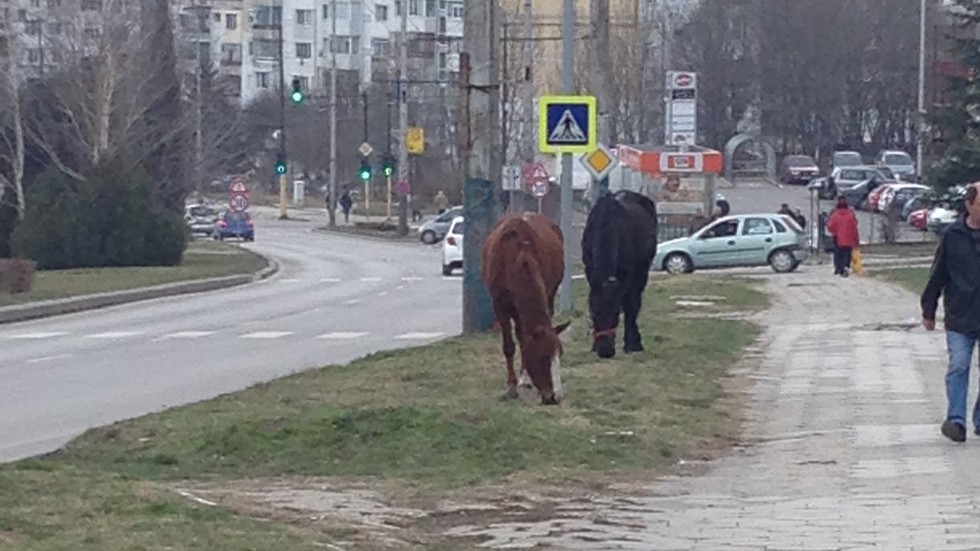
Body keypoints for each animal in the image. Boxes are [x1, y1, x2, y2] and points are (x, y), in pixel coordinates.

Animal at [480, 211, 572, 406]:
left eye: (560, 355)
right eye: (542, 357)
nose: (556, 397)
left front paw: (523, 379)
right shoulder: (499, 305)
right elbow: (509, 345)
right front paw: (511, 387)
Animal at [580, 190, 660, 360]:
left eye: (616, 314)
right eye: (594, 312)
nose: (605, 351)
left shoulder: (627, 275)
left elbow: (629, 305)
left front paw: (632, 345)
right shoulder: (590, 270)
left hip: (642, 271)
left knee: (635, 302)